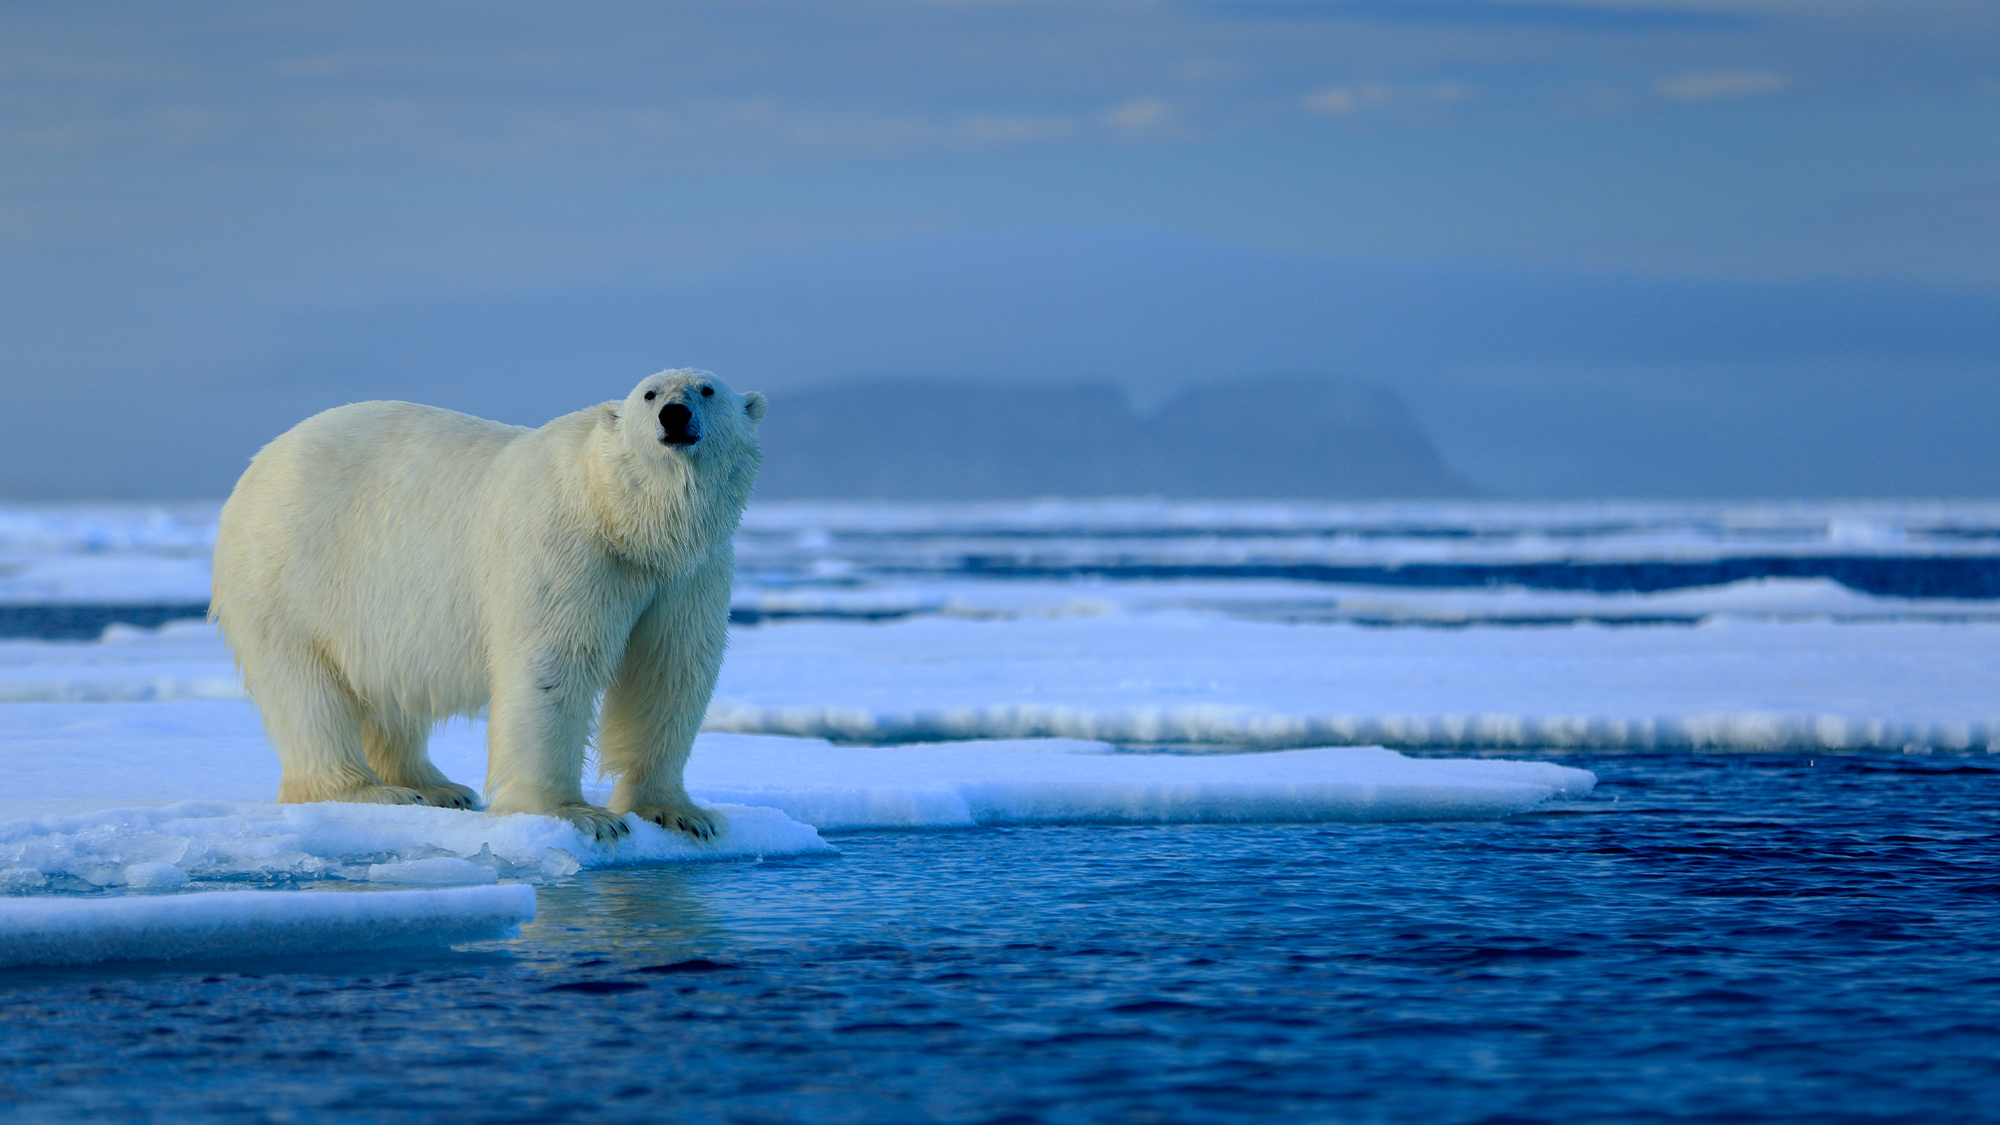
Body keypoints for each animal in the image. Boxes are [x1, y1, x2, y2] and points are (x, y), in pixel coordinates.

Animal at [209, 370, 767, 842]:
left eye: (707, 390)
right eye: (649, 394)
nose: (674, 415)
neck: (622, 516)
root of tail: (258, 465)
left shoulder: (688, 575)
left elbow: (669, 670)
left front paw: (680, 813)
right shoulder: (565, 547)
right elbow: (553, 665)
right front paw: (579, 815)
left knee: (389, 691)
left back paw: (438, 787)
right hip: (288, 575)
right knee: (307, 692)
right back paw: (371, 791)